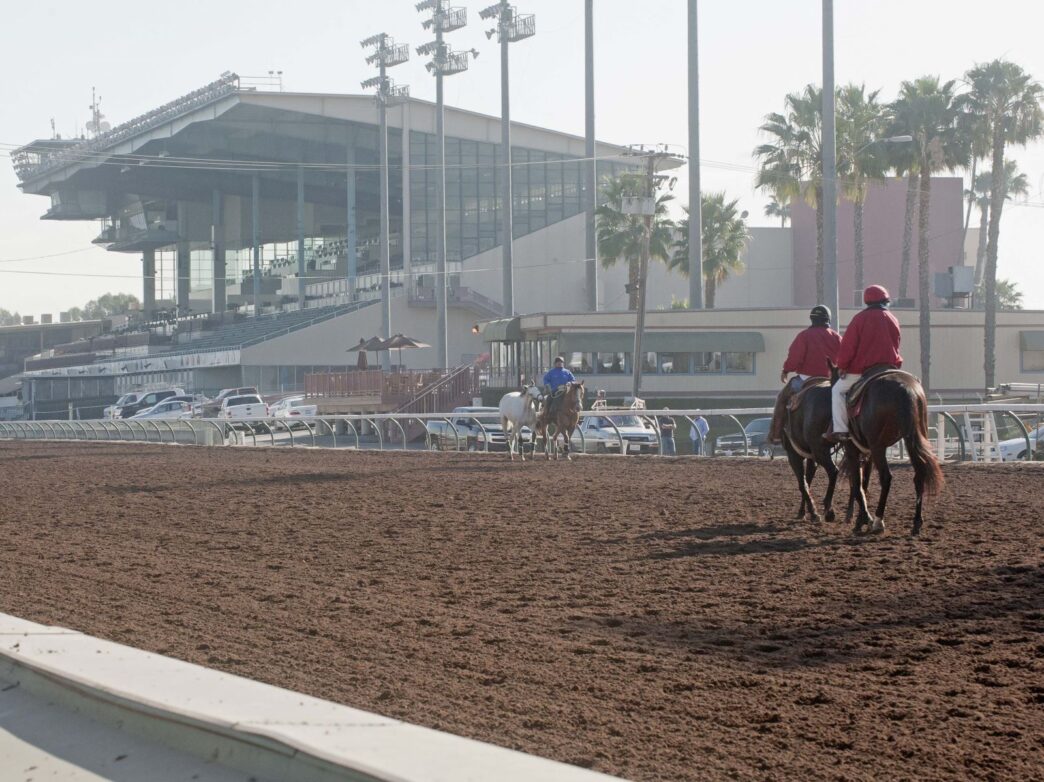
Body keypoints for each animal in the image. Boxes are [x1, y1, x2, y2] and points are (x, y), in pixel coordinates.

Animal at [780, 375, 843, 522]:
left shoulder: (793, 455)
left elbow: (802, 483)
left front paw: (812, 512)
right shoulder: (811, 456)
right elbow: (807, 480)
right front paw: (805, 511)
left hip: (819, 451)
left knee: (833, 471)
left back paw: (829, 510)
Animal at [831, 361, 947, 538]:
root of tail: (906, 389)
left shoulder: (854, 451)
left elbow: (858, 485)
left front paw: (864, 520)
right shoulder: (868, 454)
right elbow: (864, 484)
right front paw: (860, 520)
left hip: (879, 447)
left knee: (886, 477)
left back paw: (878, 521)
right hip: (912, 439)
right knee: (919, 475)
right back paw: (916, 524)